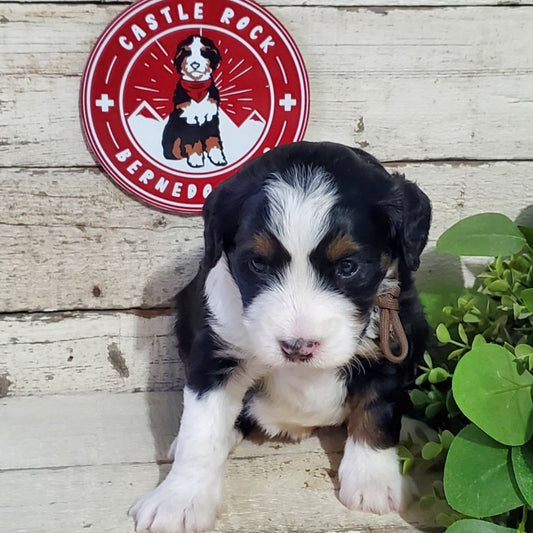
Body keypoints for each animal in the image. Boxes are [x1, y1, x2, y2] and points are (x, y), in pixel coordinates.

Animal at [130, 141, 432, 532]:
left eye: (348, 267)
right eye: (258, 265)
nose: (298, 348)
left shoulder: (391, 337)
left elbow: (377, 409)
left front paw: (373, 481)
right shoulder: (216, 351)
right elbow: (202, 429)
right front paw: (180, 499)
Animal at [160, 34, 227, 167]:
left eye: (204, 52)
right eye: (187, 52)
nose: (195, 65)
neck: (197, 87)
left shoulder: (211, 116)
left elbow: (213, 139)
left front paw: (218, 158)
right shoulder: (187, 118)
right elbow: (193, 141)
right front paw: (196, 160)